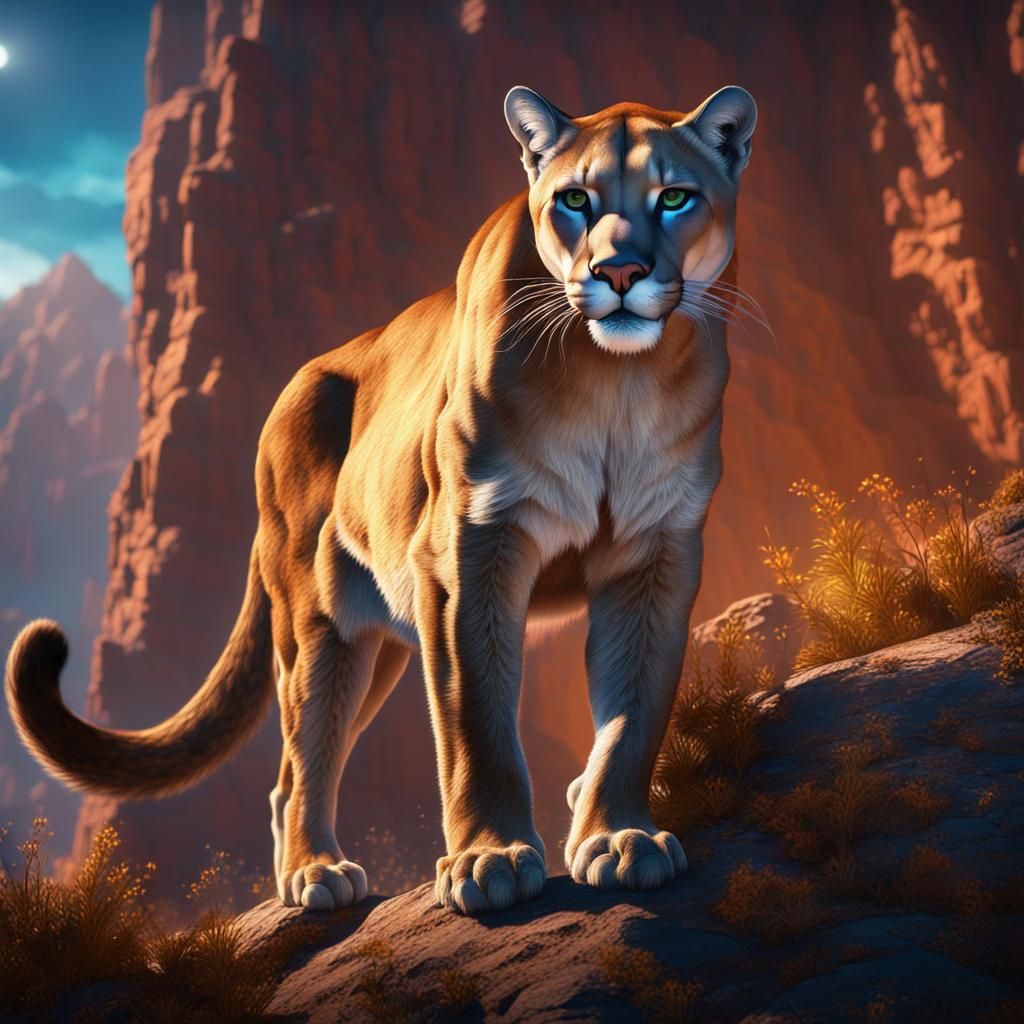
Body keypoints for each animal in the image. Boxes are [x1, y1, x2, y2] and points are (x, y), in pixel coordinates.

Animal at [6, 84, 756, 915]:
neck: (617, 382)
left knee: (294, 767)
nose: (619, 270)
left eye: (675, 197)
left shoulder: (655, 557)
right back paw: (316, 874)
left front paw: (619, 838)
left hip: (384, 642)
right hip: (319, 623)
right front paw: (490, 860)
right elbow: (477, 720)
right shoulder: (472, 550)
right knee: (304, 756)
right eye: (574, 199)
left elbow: (633, 716)